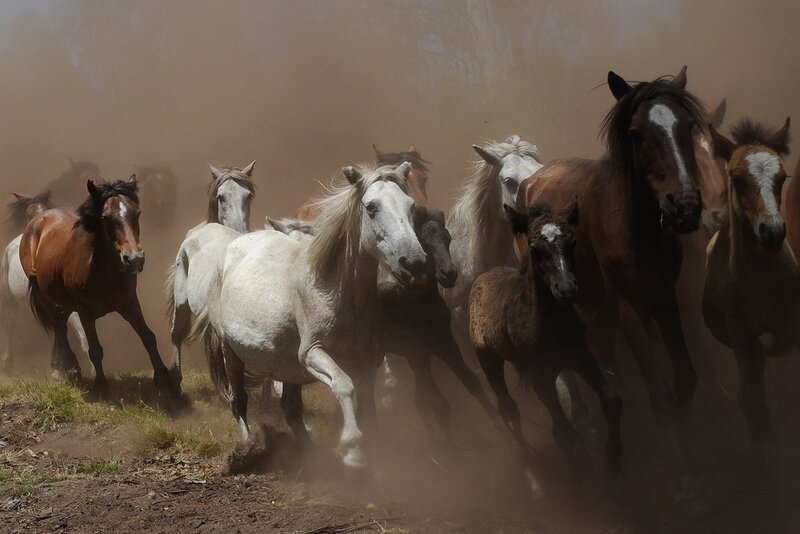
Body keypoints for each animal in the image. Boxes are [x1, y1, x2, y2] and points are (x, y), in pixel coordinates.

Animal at [20, 177, 178, 398]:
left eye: (137, 213)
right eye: (106, 217)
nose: (134, 259)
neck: (100, 270)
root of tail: (36, 221)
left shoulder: (129, 303)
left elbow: (148, 336)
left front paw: (163, 379)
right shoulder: (85, 312)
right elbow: (95, 349)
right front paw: (101, 386)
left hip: (64, 302)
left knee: (60, 324)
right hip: (45, 296)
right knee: (59, 327)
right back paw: (70, 368)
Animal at [197, 162, 427, 470]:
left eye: (411, 206)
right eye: (371, 207)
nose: (414, 263)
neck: (335, 290)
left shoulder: (367, 362)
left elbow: (366, 404)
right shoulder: (312, 354)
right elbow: (343, 385)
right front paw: (352, 450)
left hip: (286, 366)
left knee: (291, 409)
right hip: (231, 353)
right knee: (240, 401)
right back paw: (246, 450)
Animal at [470, 202, 622, 476]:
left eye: (572, 242)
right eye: (534, 249)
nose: (567, 288)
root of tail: (482, 277)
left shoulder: (582, 355)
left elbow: (611, 401)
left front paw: (613, 463)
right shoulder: (540, 374)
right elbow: (562, 431)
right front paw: (580, 475)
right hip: (489, 360)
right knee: (508, 408)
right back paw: (527, 460)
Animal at [517, 67, 705, 497]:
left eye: (687, 126)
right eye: (636, 134)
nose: (685, 207)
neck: (637, 226)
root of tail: (531, 181)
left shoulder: (664, 298)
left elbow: (685, 376)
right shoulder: (630, 307)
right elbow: (659, 394)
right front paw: (685, 479)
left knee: (601, 348)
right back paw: (585, 422)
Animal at [702, 117, 795, 444]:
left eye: (782, 177)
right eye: (737, 179)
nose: (773, 232)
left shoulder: (790, 325)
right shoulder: (741, 336)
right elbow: (752, 395)